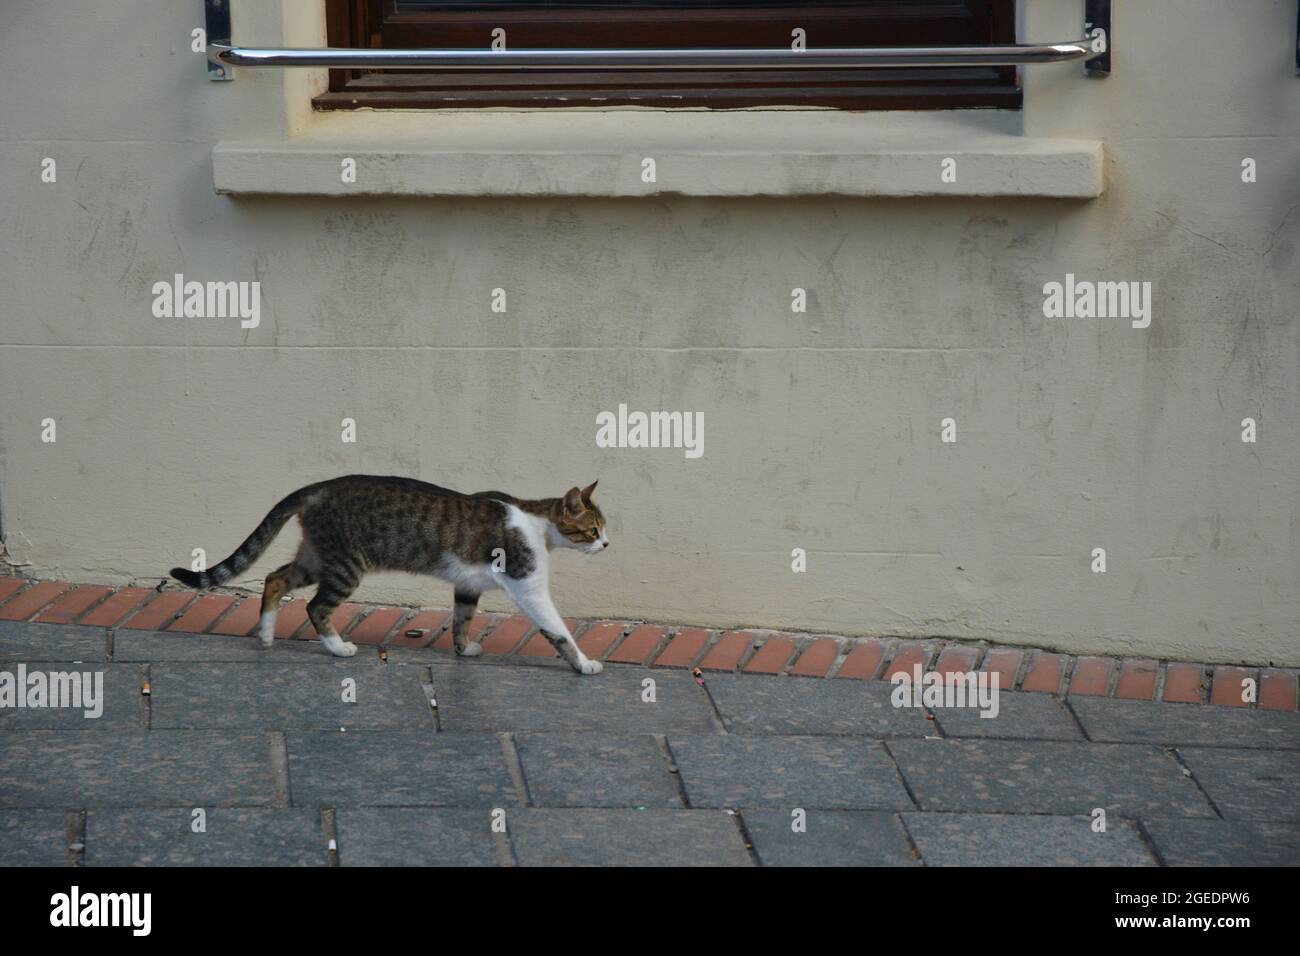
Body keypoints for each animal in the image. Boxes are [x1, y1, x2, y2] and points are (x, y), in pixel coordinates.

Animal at [170, 476, 611, 671]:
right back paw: (338, 647)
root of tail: (320, 486)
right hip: (346, 565)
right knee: (316, 607)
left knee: (275, 579)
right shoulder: (528, 584)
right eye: (593, 530)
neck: (538, 523)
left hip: (317, 557)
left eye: (604, 529)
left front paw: (463, 648)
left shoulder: (467, 584)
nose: (607, 545)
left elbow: (462, 619)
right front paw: (584, 663)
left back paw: (265, 633)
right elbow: (558, 630)